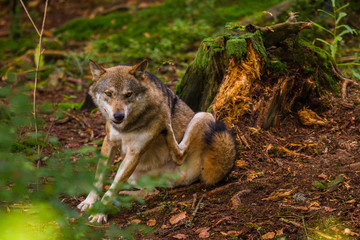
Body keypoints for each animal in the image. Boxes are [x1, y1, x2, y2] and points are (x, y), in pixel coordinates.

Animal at [76, 58, 236, 223]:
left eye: (128, 94)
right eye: (109, 93)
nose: (119, 116)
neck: (127, 126)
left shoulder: (135, 153)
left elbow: (112, 189)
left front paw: (100, 213)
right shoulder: (109, 143)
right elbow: (99, 179)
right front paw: (89, 202)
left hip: (203, 115)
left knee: (178, 155)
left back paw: (167, 128)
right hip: (133, 175)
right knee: (151, 191)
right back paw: (125, 195)